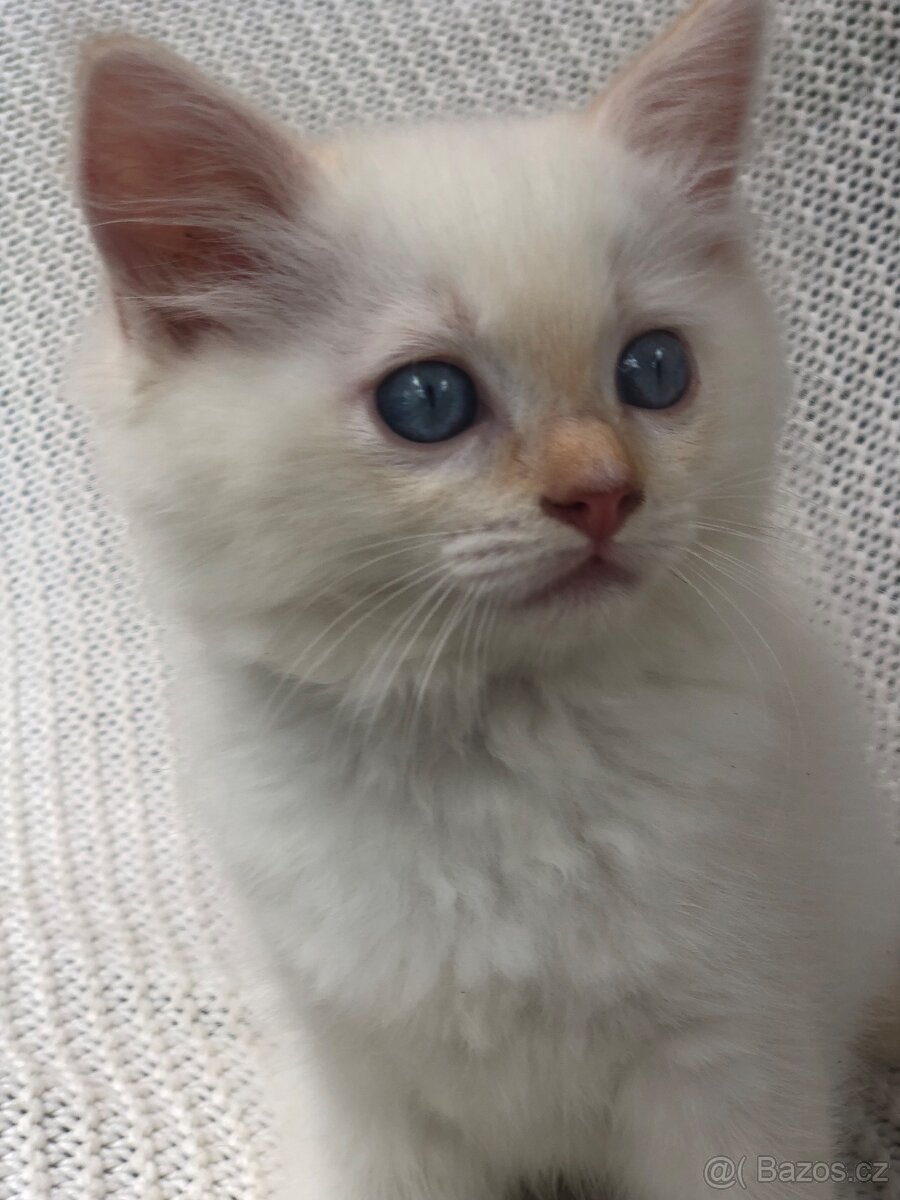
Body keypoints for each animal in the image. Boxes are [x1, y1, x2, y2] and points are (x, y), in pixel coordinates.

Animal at [72, 0, 900, 1195]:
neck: (492, 752)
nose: (603, 493)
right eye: (428, 400)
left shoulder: (732, 1053)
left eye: (655, 370)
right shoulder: (354, 1085)